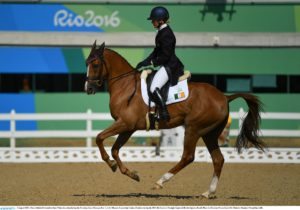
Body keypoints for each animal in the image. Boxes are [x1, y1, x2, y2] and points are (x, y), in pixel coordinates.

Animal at [84, 41, 264, 199]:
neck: (125, 86)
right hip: (209, 133)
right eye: (86, 63)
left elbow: (99, 138)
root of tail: (224, 97)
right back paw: (208, 192)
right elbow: (115, 149)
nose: (88, 89)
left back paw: (160, 181)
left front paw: (112, 164)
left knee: (188, 157)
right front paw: (131, 173)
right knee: (218, 159)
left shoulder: (125, 124)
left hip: (193, 129)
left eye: (95, 64)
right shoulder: (129, 128)